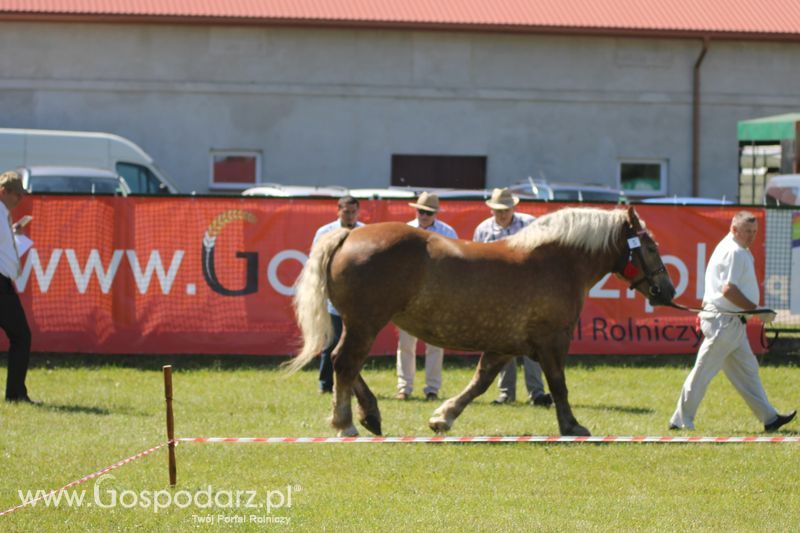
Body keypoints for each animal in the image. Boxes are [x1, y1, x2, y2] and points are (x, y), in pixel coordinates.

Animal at [288, 206, 676, 434]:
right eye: (651, 247)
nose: (667, 291)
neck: (557, 260)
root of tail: (349, 233)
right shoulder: (553, 341)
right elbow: (558, 384)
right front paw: (571, 426)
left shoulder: (507, 345)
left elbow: (480, 382)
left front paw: (443, 416)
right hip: (366, 323)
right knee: (344, 362)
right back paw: (347, 423)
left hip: (359, 323)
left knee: (341, 362)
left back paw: (369, 414)